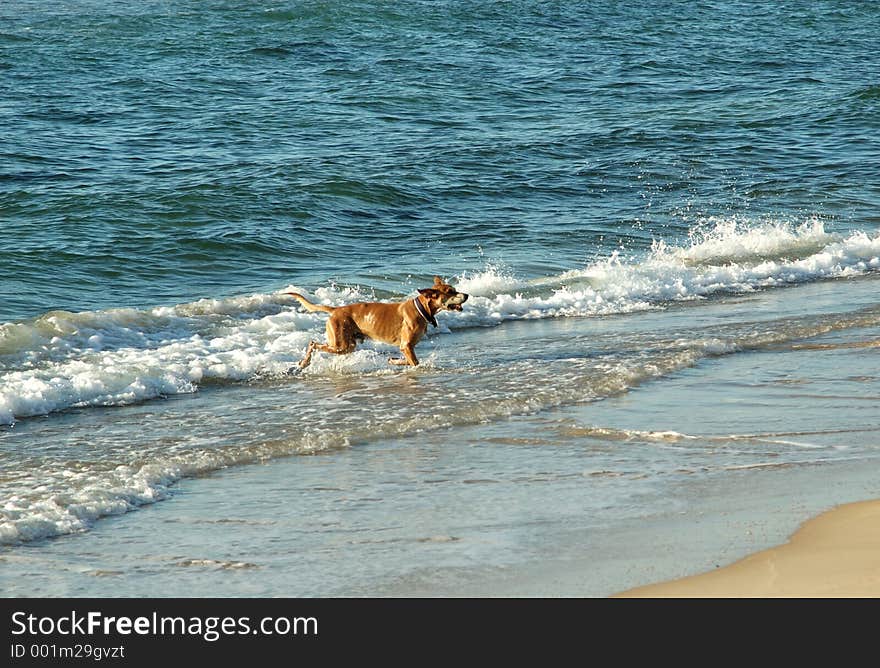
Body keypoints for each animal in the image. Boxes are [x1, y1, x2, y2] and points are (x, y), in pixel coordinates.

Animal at [288, 276, 468, 370]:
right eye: (450, 292)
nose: (466, 295)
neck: (421, 308)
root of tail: (336, 309)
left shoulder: (406, 348)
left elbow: (407, 360)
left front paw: (394, 361)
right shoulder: (406, 346)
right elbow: (415, 362)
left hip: (348, 345)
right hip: (341, 344)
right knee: (313, 343)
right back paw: (305, 362)